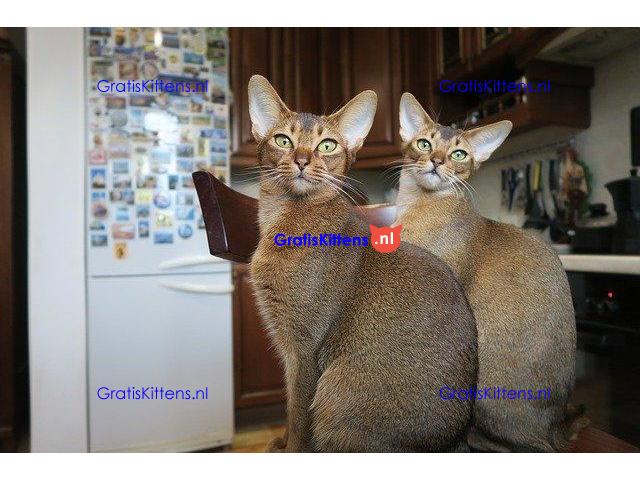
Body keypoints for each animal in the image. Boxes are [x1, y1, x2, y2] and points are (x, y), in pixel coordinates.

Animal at [247, 75, 478, 452]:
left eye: (327, 146)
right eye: (283, 140)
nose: (301, 159)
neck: (285, 218)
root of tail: (455, 440)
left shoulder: (303, 346)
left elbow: (298, 413)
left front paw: (288, 448)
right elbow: (289, 409)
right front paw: (278, 442)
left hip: (336, 394)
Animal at [394, 92, 585, 452]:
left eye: (459, 154)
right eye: (425, 144)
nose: (437, 161)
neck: (416, 205)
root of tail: (555, 424)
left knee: (528, 446)